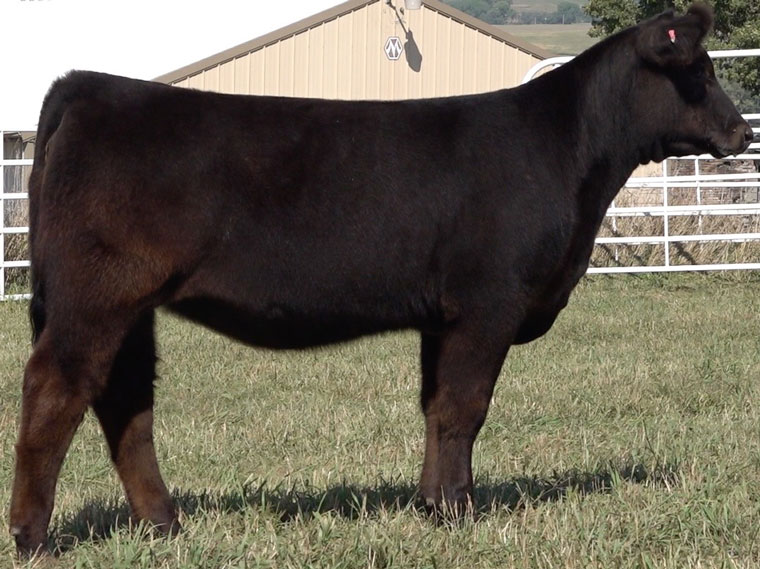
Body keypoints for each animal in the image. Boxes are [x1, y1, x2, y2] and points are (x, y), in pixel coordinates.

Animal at [9, 3, 752, 554]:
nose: (741, 132)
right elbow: (464, 408)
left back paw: (163, 523)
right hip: (97, 295)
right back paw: (33, 537)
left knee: (125, 402)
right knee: (56, 390)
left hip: (129, 306)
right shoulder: (487, 304)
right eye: (697, 74)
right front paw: (459, 511)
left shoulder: (442, 316)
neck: (567, 153)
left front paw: (432, 503)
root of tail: (92, 85)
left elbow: (436, 406)